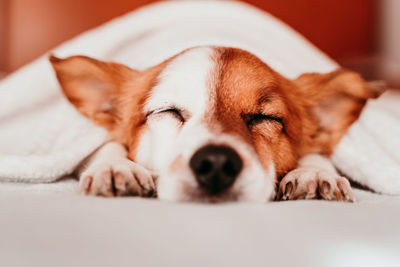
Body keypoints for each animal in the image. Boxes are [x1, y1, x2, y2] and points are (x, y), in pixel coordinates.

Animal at [48, 4, 382, 203]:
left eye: (265, 118)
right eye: (169, 111)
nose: (217, 163)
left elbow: (316, 153)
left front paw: (314, 172)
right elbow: (106, 146)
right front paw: (115, 166)